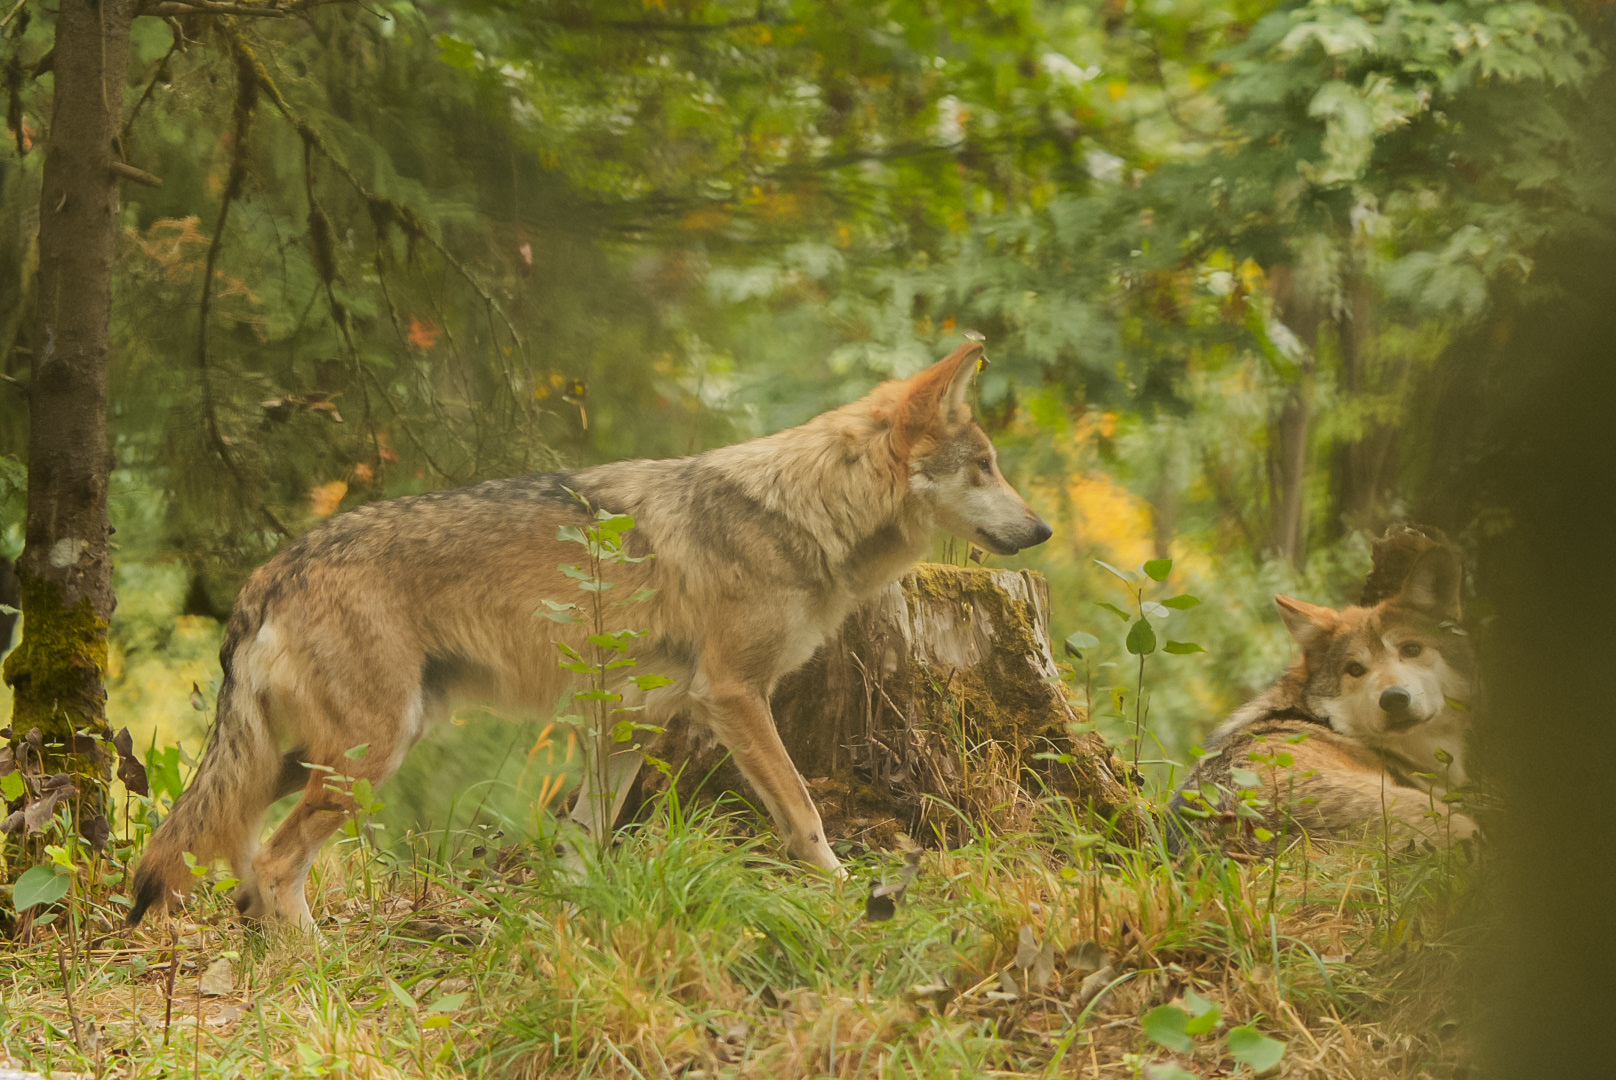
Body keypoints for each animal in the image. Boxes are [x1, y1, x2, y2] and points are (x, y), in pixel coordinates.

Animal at [129, 341, 1051, 929]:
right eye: (985, 466)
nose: (1042, 529)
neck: (802, 512)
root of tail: (270, 571)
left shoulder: (630, 725)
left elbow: (581, 841)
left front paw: (573, 920)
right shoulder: (734, 696)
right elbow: (803, 810)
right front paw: (842, 891)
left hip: (308, 761)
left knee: (235, 863)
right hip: (366, 758)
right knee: (272, 867)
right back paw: (318, 970)